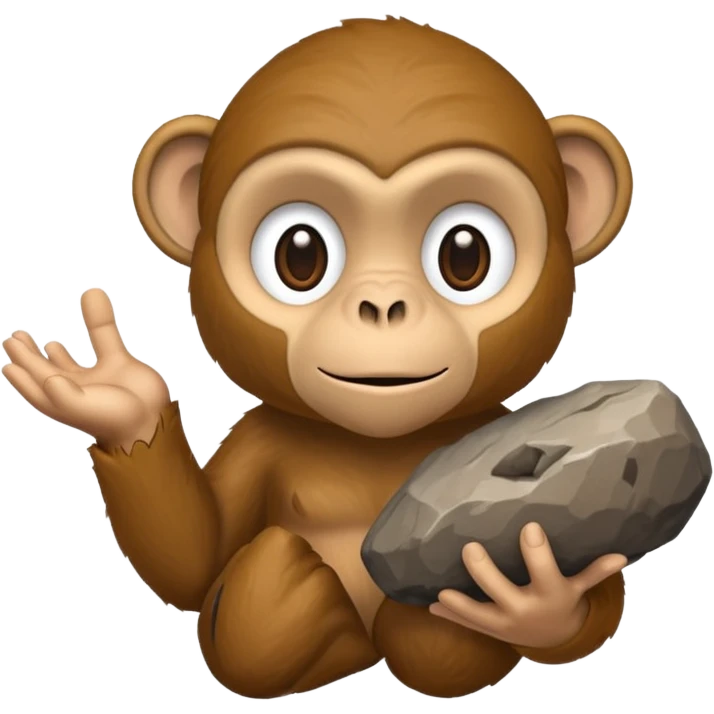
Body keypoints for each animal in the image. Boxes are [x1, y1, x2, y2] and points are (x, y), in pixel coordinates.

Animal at [1, 17, 634, 700]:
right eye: (299, 255)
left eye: (465, 255)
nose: (381, 305)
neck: (370, 444)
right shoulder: (262, 435)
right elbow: (196, 558)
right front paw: (121, 405)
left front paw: (542, 599)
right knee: (259, 627)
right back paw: (298, 593)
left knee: (431, 644)